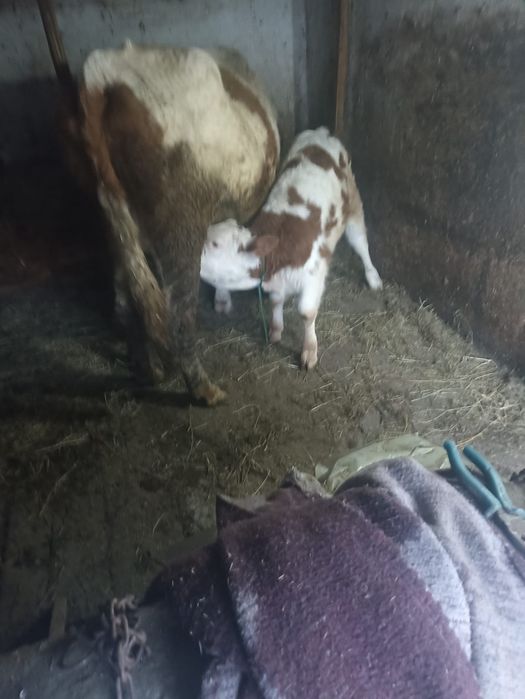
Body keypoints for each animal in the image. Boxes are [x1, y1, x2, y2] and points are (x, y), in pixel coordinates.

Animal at [59, 42, 280, 405]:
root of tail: (101, 75)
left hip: (111, 218)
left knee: (129, 297)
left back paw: (147, 369)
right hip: (180, 222)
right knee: (178, 314)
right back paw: (204, 390)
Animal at [200, 127, 382, 370]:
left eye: (215, 244)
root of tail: (320, 132)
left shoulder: (314, 274)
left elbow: (306, 312)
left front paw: (309, 351)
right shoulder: (276, 282)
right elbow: (276, 301)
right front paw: (276, 331)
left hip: (353, 206)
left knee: (361, 244)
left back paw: (373, 278)